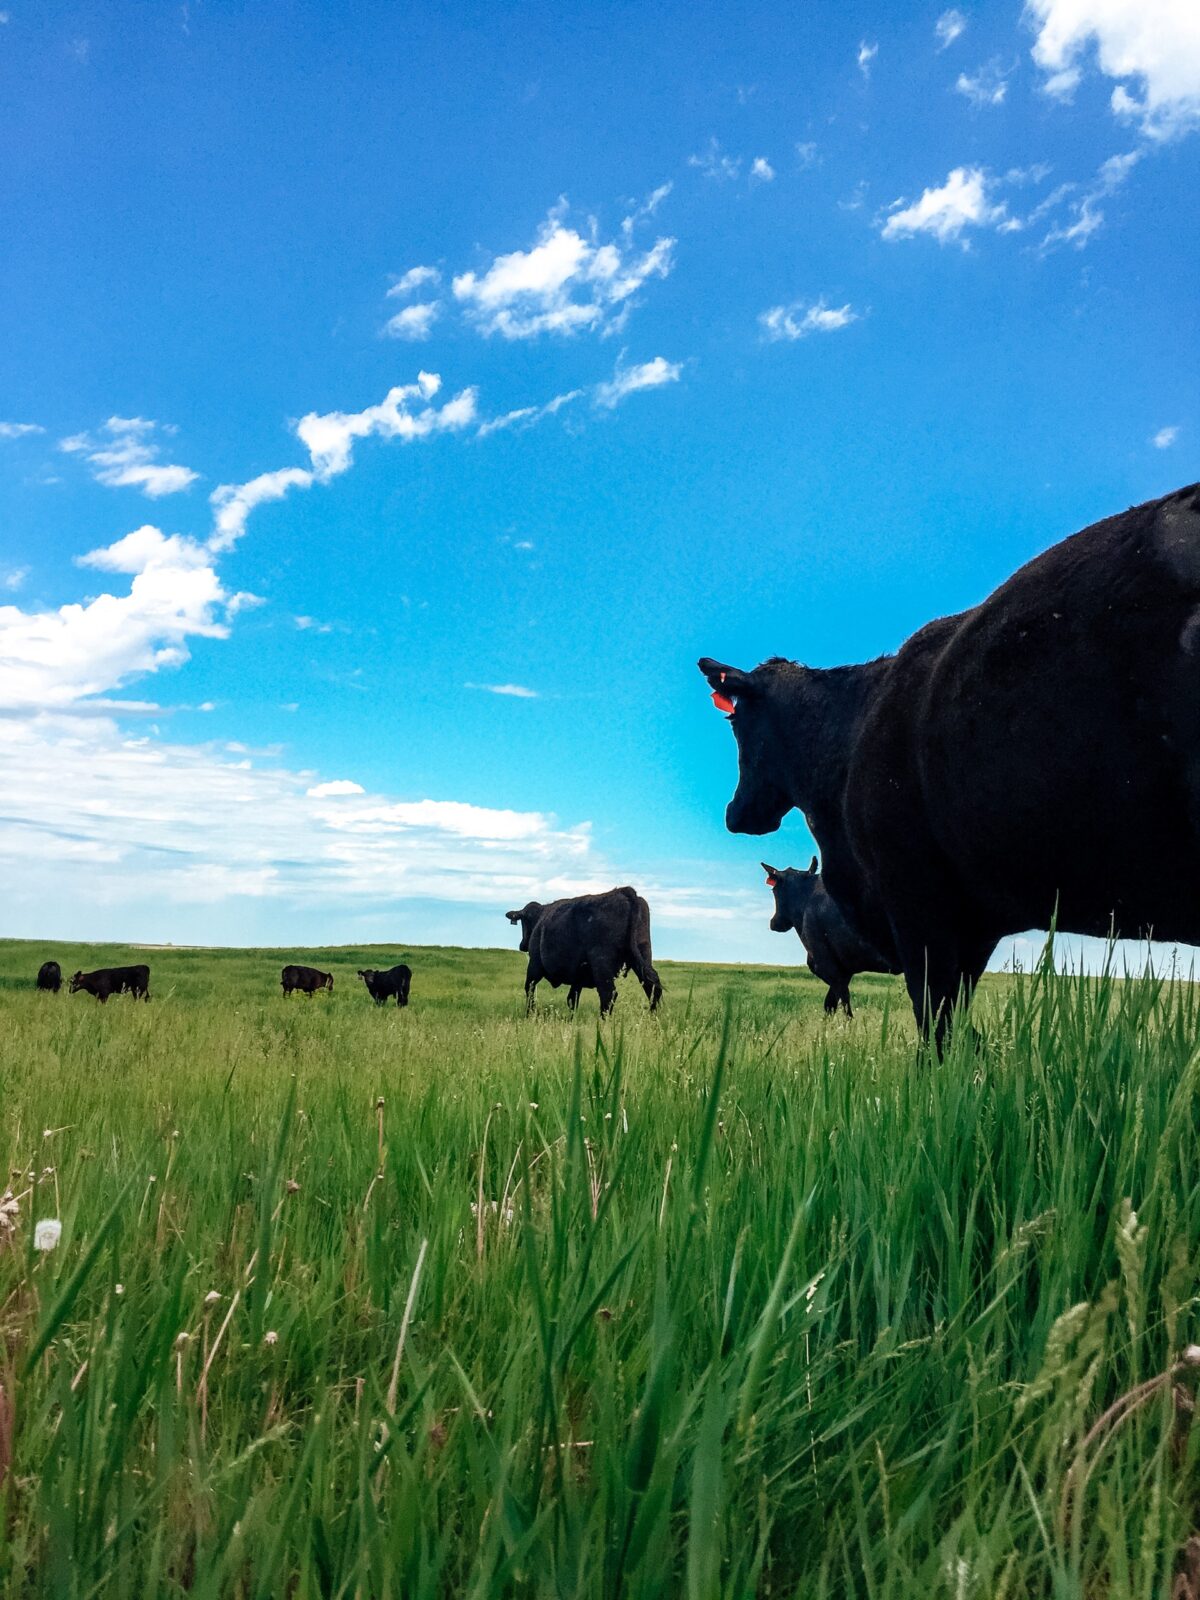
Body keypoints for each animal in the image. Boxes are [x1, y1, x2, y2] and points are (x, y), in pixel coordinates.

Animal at [502, 889, 662, 1011]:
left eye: (524, 920)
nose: (522, 945)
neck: (540, 918)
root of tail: (623, 892)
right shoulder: (577, 977)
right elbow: (572, 999)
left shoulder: (535, 964)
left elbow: (529, 990)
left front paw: (530, 1015)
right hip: (643, 955)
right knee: (652, 987)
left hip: (601, 963)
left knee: (608, 994)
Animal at [761, 857, 902, 1017]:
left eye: (774, 890)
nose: (774, 923)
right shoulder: (844, 969)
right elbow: (830, 1004)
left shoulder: (826, 962)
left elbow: (844, 1004)